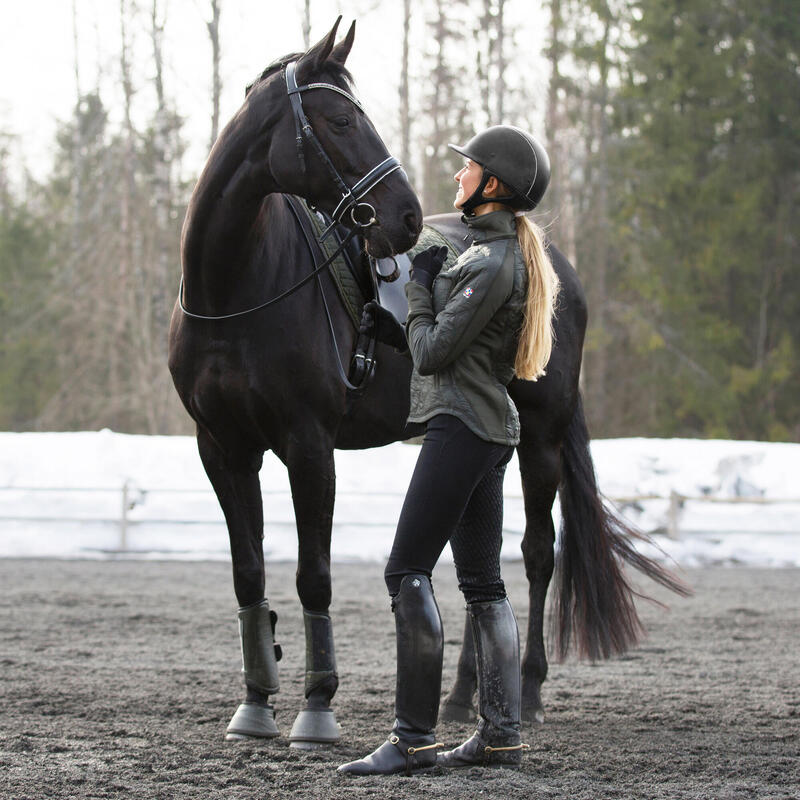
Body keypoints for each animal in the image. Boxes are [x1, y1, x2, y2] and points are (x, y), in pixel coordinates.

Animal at [169, 18, 688, 752]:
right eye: (339, 118)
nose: (408, 217)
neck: (240, 285)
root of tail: (556, 263)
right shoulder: (221, 448)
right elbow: (250, 573)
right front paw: (255, 706)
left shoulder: (308, 445)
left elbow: (313, 575)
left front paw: (317, 708)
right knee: (479, 563)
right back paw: (465, 693)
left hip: (544, 438)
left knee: (536, 554)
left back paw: (527, 691)